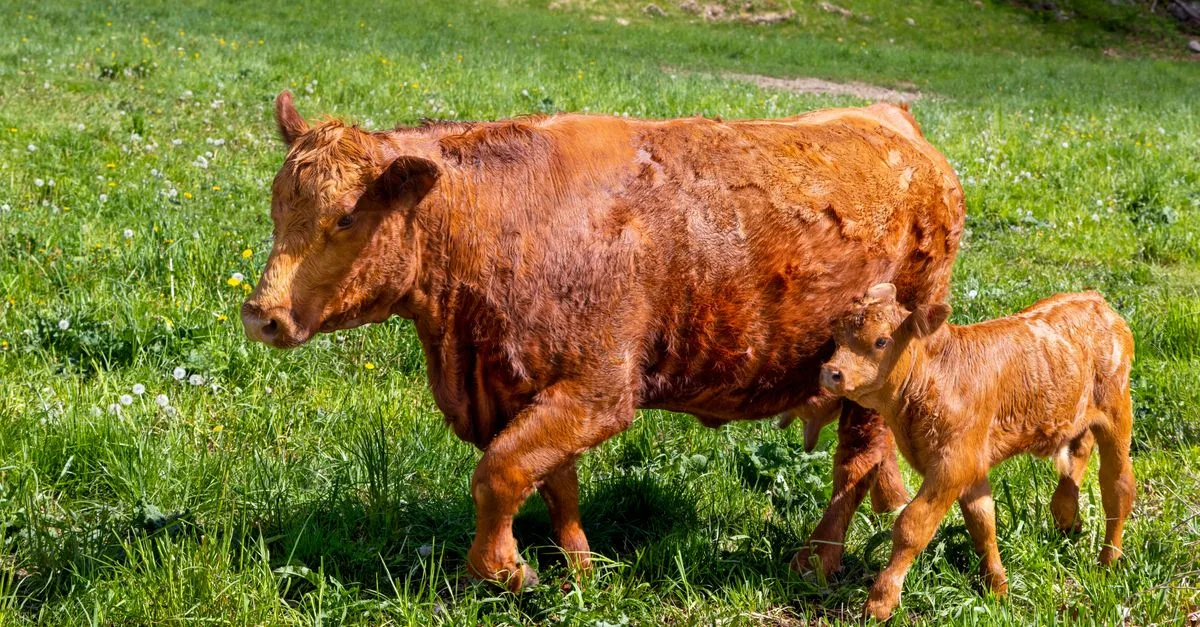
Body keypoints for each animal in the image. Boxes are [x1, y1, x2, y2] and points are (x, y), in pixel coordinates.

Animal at [241, 91, 965, 590]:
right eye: (276, 204)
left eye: (345, 217)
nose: (260, 313)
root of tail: (893, 119)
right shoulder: (533, 389)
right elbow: (550, 480)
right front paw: (582, 569)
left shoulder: (599, 390)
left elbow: (498, 473)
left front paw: (507, 569)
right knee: (875, 462)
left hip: (872, 375)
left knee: (854, 463)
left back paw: (817, 562)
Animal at [819, 284, 1135, 620]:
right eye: (837, 336)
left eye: (881, 341)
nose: (830, 372)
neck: (935, 378)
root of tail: (1093, 299)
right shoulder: (971, 465)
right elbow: (983, 523)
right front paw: (997, 589)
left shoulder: (952, 464)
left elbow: (912, 525)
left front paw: (880, 602)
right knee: (1078, 454)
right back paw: (1067, 518)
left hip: (1117, 411)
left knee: (1117, 485)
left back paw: (1108, 562)